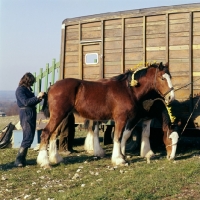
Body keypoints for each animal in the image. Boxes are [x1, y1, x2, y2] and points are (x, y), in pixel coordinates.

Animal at [36, 62, 174, 167]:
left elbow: (123, 137)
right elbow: (118, 137)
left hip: (62, 116)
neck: (128, 89)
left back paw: (56, 158)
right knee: (46, 133)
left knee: (53, 134)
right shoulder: (121, 119)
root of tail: (52, 87)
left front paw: (122, 156)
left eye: (170, 77)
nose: (171, 97)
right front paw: (119, 159)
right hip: (58, 115)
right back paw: (45, 162)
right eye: (162, 78)